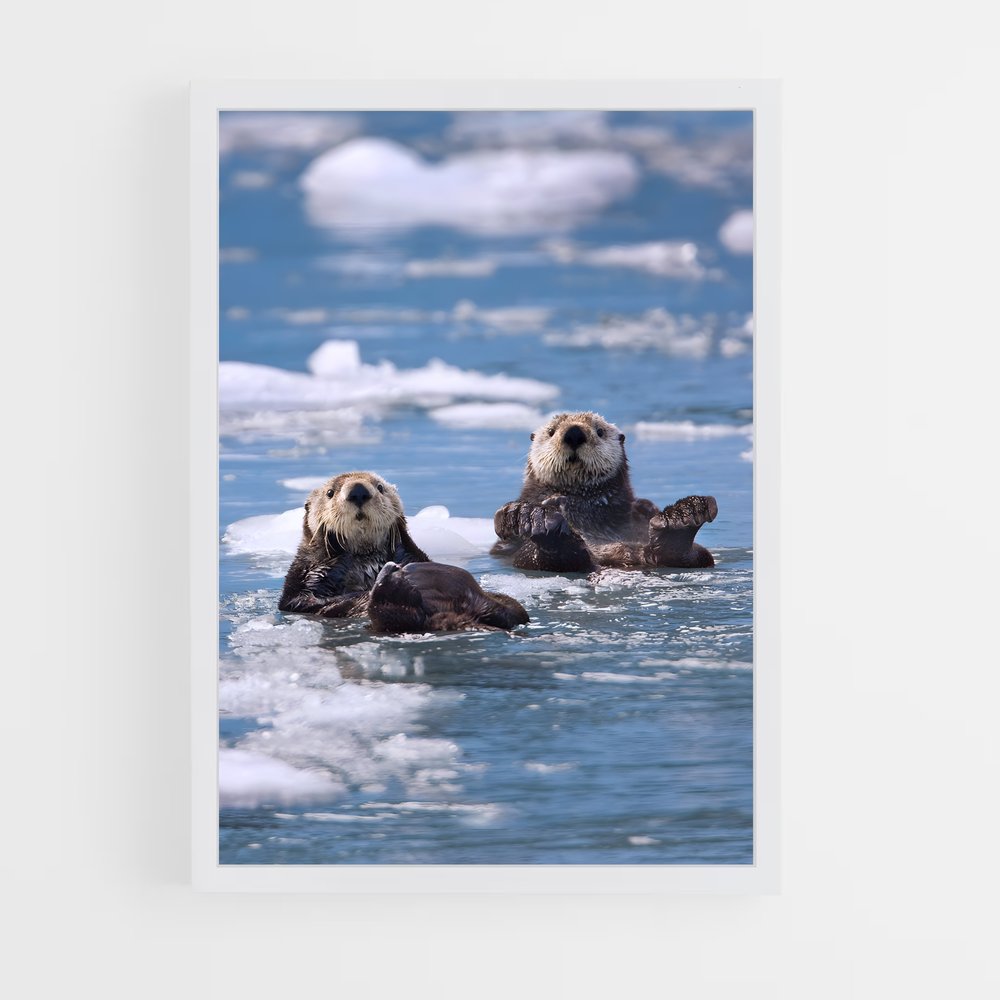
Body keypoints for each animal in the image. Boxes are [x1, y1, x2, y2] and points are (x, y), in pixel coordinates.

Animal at [493, 411, 718, 573]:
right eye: (551, 431)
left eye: (600, 431)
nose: (574, 433)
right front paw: (519, 512)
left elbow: (643, 506)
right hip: (528, 558)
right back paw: (537, 520)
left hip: (693, 554)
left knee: (692, 555)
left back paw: (683, 517)